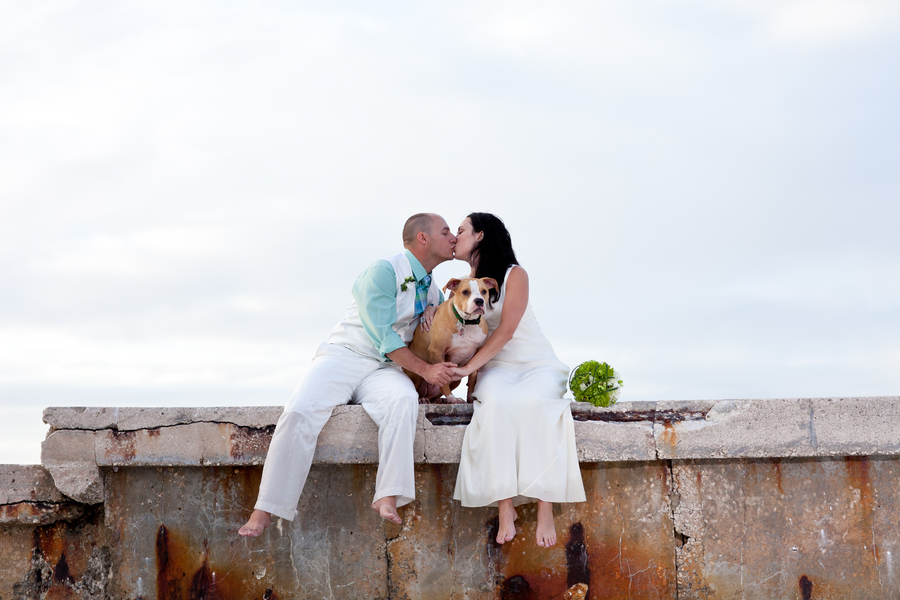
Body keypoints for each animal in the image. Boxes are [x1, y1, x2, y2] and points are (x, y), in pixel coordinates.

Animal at [402, 276, 496, 404]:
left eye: (484, 291)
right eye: (465, 292)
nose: (479, 301)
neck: (466, 322)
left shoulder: (478, 355)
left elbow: (472, 379)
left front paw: (471, 398)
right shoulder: (437, 352)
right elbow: (444, 381)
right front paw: (452, 398)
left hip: (456, 380)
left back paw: (439, 400)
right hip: (417, 372)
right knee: (418, 390)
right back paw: (423, 399)